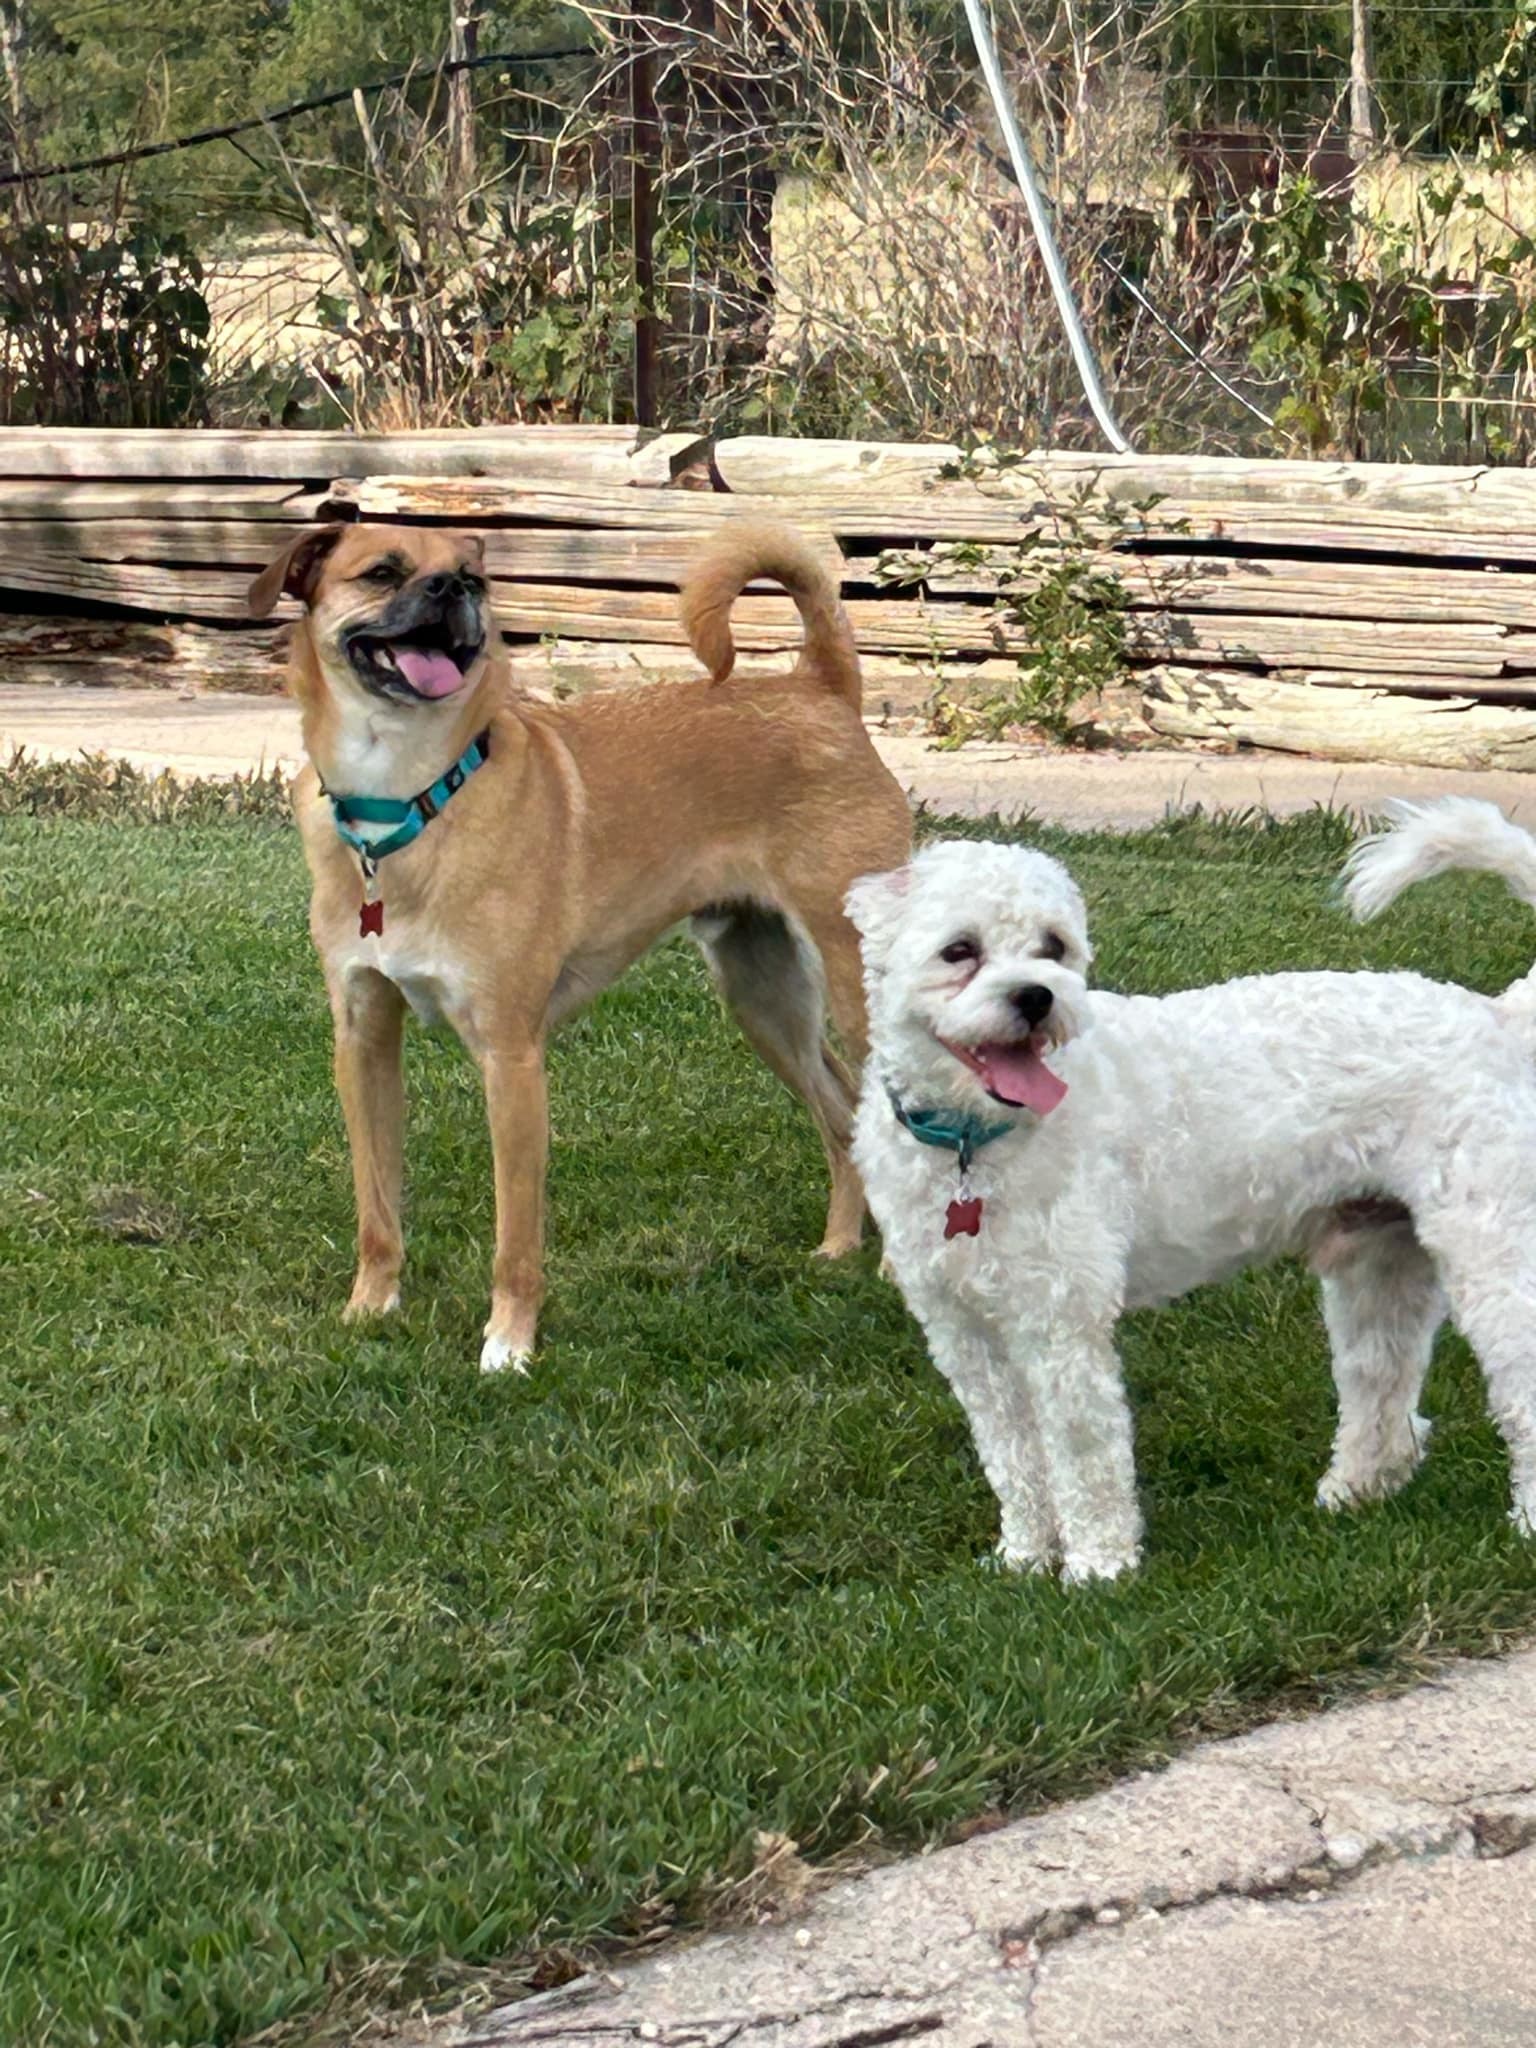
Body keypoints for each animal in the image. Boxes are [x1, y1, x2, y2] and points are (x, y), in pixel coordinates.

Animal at [252, 520, 913, 1368]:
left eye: (473, 577)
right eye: (382, 573)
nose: (454, 590)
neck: (409, 802)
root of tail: (820, 687)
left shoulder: (511, 1057)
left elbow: (515, 1238)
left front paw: (508, 1347)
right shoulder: (363, 1038)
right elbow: (377, 1209)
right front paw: (371, 1308)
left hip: (860, 985)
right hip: (763, 996)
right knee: (840, 1110)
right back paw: (839, 1249)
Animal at [847, 798, 1536, 1581]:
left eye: (1054, 946)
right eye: (959, 950)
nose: (1037, 997)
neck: (975, 1144)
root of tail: (1498, 1015)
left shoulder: (1060, 1323)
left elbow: (1083, 1452)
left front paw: (1098, 1567)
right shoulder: (964, 1333)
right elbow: (1012, 1453)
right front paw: (1023, 1556)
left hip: (1493, 1252)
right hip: (1377, 1266)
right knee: (1384, 1391)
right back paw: (1354, 1491)